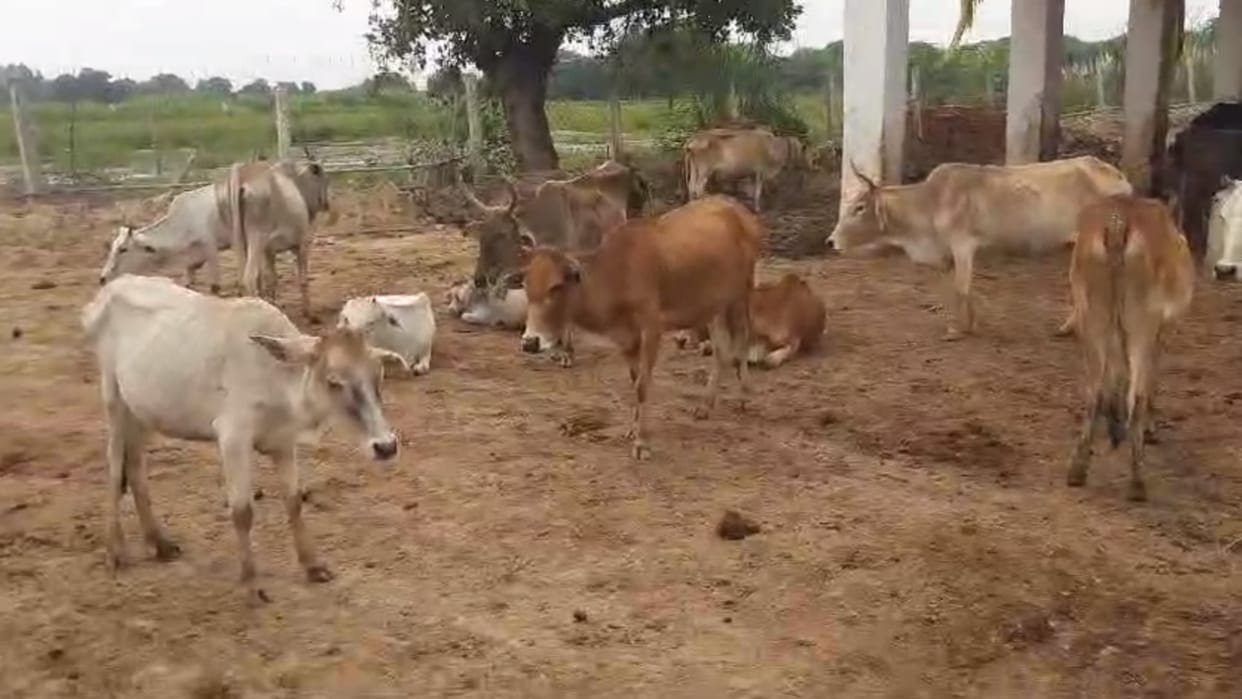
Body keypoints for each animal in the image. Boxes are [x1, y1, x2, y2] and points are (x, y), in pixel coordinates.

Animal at [82, 275, 403, 603]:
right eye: (334, 382)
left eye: (377, 377)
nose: (386, 446)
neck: (278, 379)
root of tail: (112, 287)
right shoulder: (233, 438)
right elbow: (242, 511)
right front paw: (252, 584)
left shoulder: (283, 443)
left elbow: (293, 502)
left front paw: (313, 566)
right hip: (114, 400)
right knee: (115, 468)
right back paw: (114, 551)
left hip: (143, 410)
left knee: (135, 467)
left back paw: (160, 543)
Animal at [518, 195, 763, 460]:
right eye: (526, 286)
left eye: (555, 287)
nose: (530, 342)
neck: (618, 274)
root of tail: (736, 208)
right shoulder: (626, 337)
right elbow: (635, 380)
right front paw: (632, 430)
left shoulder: (651, 329)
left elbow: (643, 386)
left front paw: (642, 442)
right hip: (713, 304)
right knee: (720, 350)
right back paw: (705, 406)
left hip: (741, 293)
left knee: (743, 337)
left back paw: (745, 396)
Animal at [827, 156, 1133, 340]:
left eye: (859, 207)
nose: (830, 242)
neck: (931, 203)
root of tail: (1116, 174)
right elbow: (965, 288)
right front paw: (971, 324)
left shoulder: (962, 245)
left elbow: (961, 287)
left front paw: (955, 329)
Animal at [1064, 195, 1194, 502]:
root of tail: (1118, 221)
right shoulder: (1159, 332)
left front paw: (1114, 424)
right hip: (1143, 320)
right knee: (1138, 394)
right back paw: (1137, 482)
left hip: (1092, 314)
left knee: (1094, 391)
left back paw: (1078, 470)